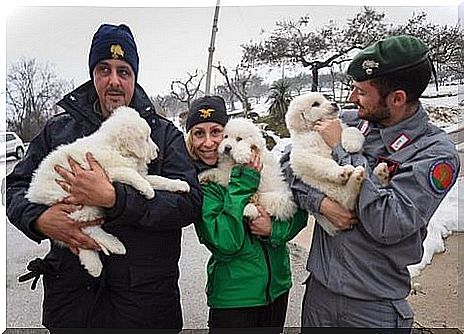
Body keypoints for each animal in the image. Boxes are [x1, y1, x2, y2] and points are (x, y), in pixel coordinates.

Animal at [25, 107, 190, 276]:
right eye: (146, 138)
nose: (157, 151)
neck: (116, 148)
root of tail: (33, 194)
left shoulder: (136, 172)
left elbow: (157, 178)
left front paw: (180, 184)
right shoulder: (104, 173)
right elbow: (129, 173)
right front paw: (147, 190)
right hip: (77, 201)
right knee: (86, 229)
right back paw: (113, 246)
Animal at [282, 92, 370, 236]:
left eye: (326, 98)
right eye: (315, 104)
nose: (334, 103)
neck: (314, 130)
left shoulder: (342, 126)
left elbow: (352, 129)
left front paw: (351, 144)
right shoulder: (301, 156)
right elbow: (323, 163)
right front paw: (340, 172)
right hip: (330, 189)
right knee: (346, 199)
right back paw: (351, 175)